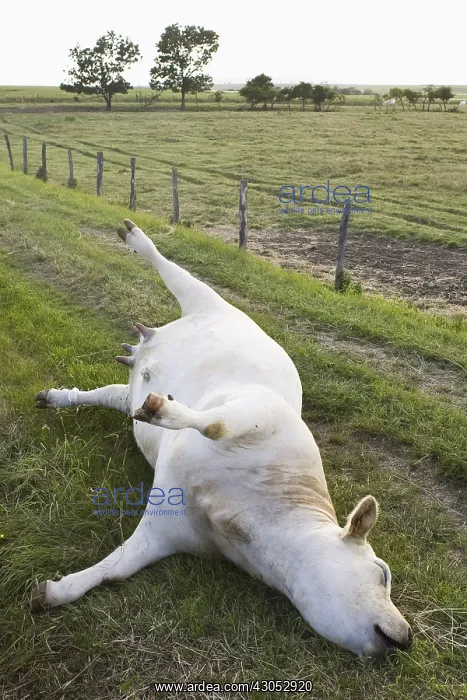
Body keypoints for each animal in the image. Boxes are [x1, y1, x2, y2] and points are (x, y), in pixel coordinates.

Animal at [31, 219, 412, 658]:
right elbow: (215, 425)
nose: (408, 637)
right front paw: (166, 411)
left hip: (126, 394)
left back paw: (59, 397)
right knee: (171, 268)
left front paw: (58, 591)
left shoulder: (166, 531)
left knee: (108, 394)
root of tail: (148, 344)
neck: (250, 520)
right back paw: (135, 237)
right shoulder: (258, 410)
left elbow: (117, 568)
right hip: (206, 299)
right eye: (382, 573)